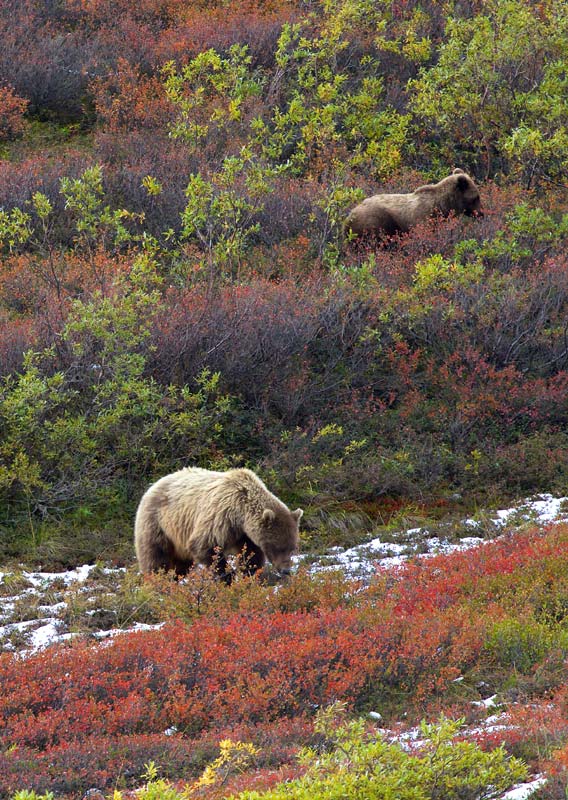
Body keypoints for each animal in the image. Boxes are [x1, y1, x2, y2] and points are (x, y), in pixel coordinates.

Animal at [134, 466, 302, 584]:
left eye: (292, 547)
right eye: (278, 547)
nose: (286, 570)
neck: (240, 515)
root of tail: (153, 485)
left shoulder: (245, 536)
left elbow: (251, 557)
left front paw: (249, 576)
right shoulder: (220, 519)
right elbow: (204, 547)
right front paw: (227, 577)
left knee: (180, 566)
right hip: (157, 524)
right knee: (155, 558)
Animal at [344, 168, 482, 238]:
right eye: (476, 197)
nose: (481, 214)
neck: (444, 206)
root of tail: (349, 216)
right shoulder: (423, 219)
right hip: (374, 225)